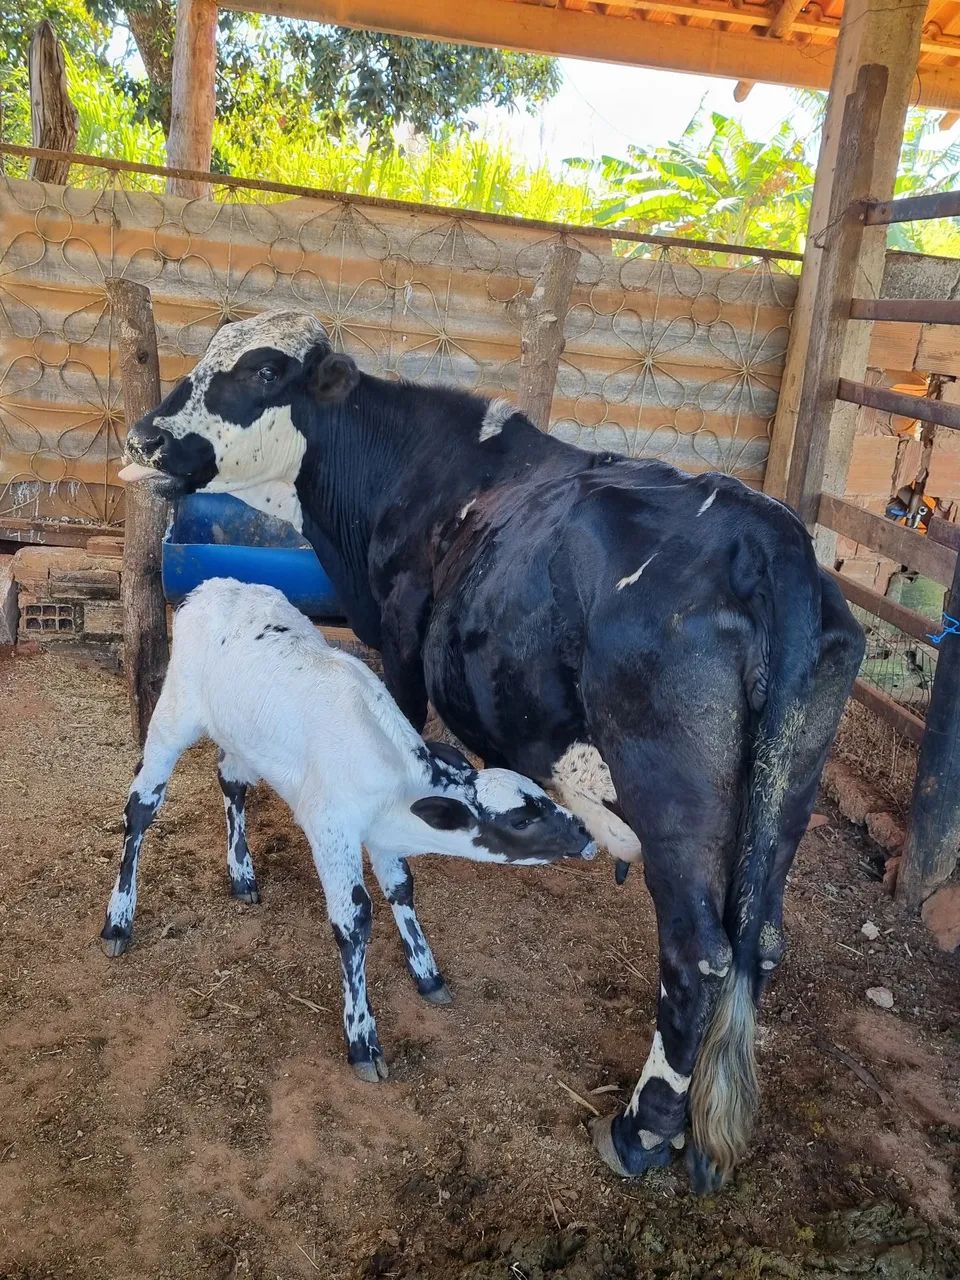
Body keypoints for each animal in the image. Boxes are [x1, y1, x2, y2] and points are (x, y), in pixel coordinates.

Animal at [118, 310, 864, 1193]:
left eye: (263, 372)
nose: (143, 437)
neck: (408, 469)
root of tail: (768, 535)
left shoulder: (400, 649)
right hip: (784, 801)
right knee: (761, 943)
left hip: (672, 797)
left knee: (700, 956)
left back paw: (642, 1131)